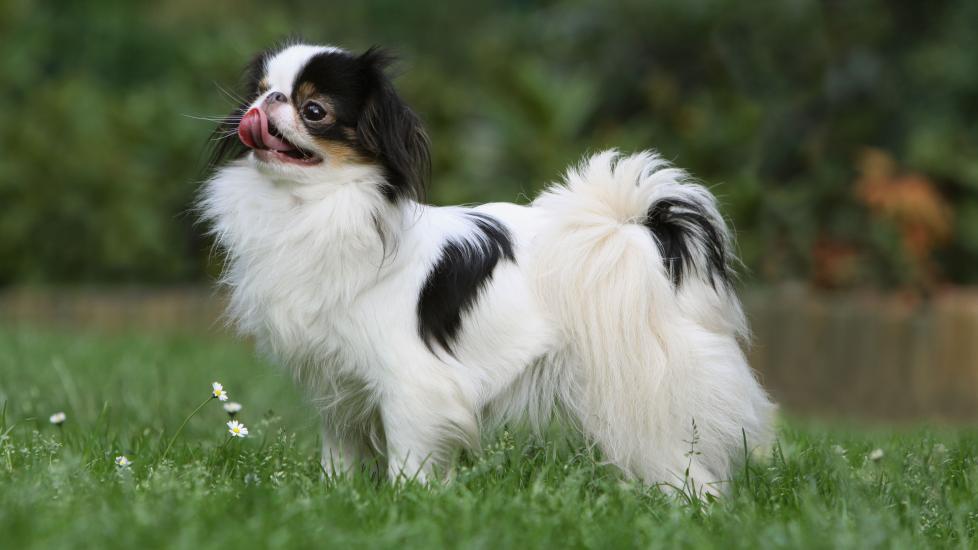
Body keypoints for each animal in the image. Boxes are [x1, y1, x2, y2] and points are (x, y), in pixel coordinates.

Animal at [200, 41, 772, 494]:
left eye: (314, 109)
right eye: (262, 90)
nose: (266, 103)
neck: (312, 207)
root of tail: (641, 236)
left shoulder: (410, 383)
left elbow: (409, 456)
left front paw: (407, 501)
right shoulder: (340, 387)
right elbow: (339, 452)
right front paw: (334, 495)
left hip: (644, 393)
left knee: (684, 463)